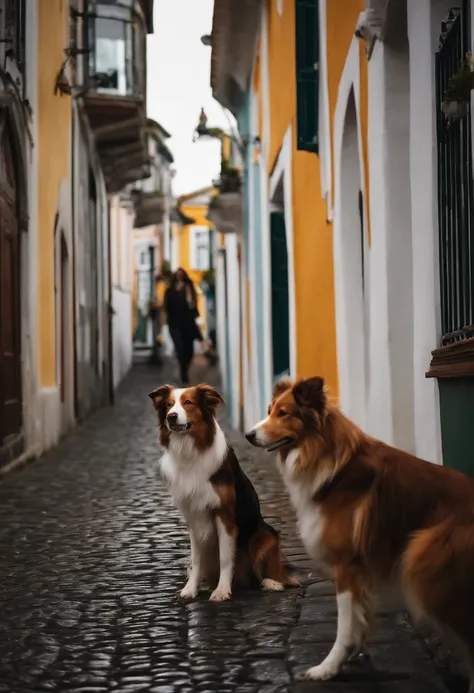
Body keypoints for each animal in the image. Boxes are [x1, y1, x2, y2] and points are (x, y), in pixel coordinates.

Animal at [148, 384, 298, 600]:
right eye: (168, 405)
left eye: (188, 402)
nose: (171, 416)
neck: (190, 452)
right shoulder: (193, 516)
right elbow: (196, 559)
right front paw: (190, 589)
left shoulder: (224, 514)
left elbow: (226, 557)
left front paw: (222, 591)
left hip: (266, 536)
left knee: (272, 572)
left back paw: (272, 582)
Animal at [246, 376, 474, 688]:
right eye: (269, 411)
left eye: (283, 413)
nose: (248, 435)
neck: (322, 453)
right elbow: (358, 620)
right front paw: (350, 656)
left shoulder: (347, 566)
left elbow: (344, 625)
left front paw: (327, 668)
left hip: (424, 566)